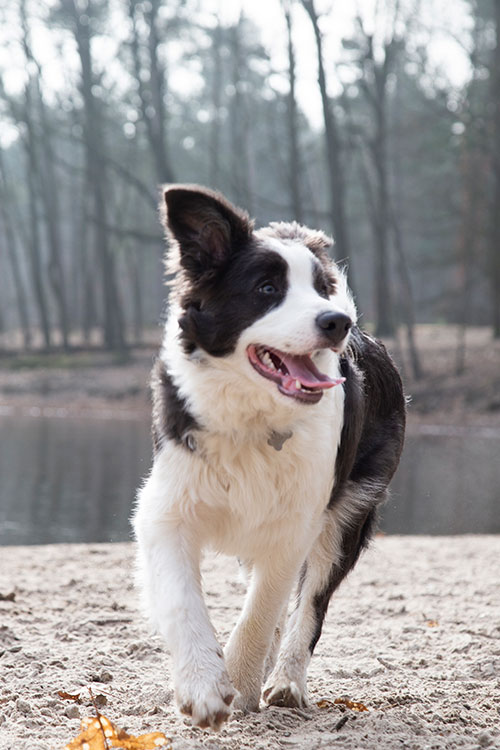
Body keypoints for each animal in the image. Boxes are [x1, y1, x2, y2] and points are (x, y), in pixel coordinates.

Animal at [134, 185, 406, 732]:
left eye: (321, 289)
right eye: (266, 288)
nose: (337, 321)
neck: (253, 418)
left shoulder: (296, 522)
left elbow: (262, 610)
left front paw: (238, 683)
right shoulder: (166, 510)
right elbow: (182, 600)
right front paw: (203, 686)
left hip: (348, 517)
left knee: (309, 606)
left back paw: (284, 682)